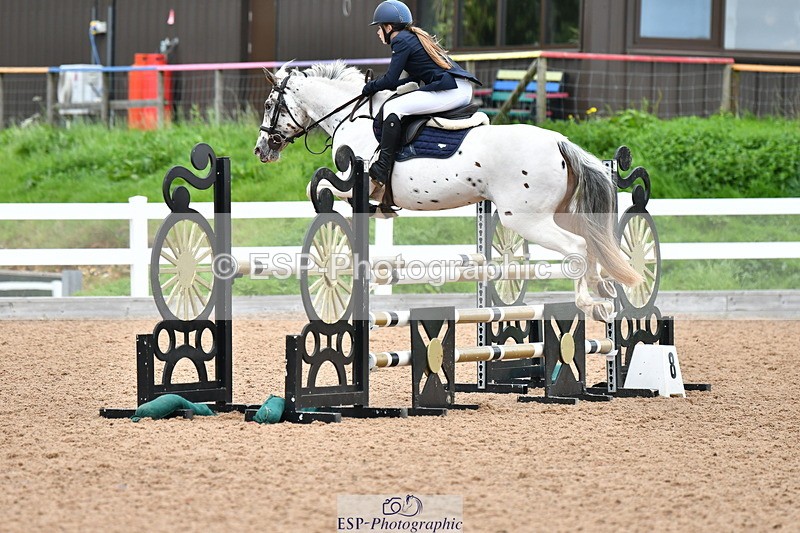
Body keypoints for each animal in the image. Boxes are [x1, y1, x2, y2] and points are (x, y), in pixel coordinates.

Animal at [253, 60, 641, 321]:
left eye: (270, 105)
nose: (261, 149)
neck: (352, 117)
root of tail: (560, 142)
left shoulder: (355, 180)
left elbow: (325, 195)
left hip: (526, 220)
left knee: (577, 247)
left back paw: (590, 303)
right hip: (559, 213)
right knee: (593, 242)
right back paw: (605, 290)